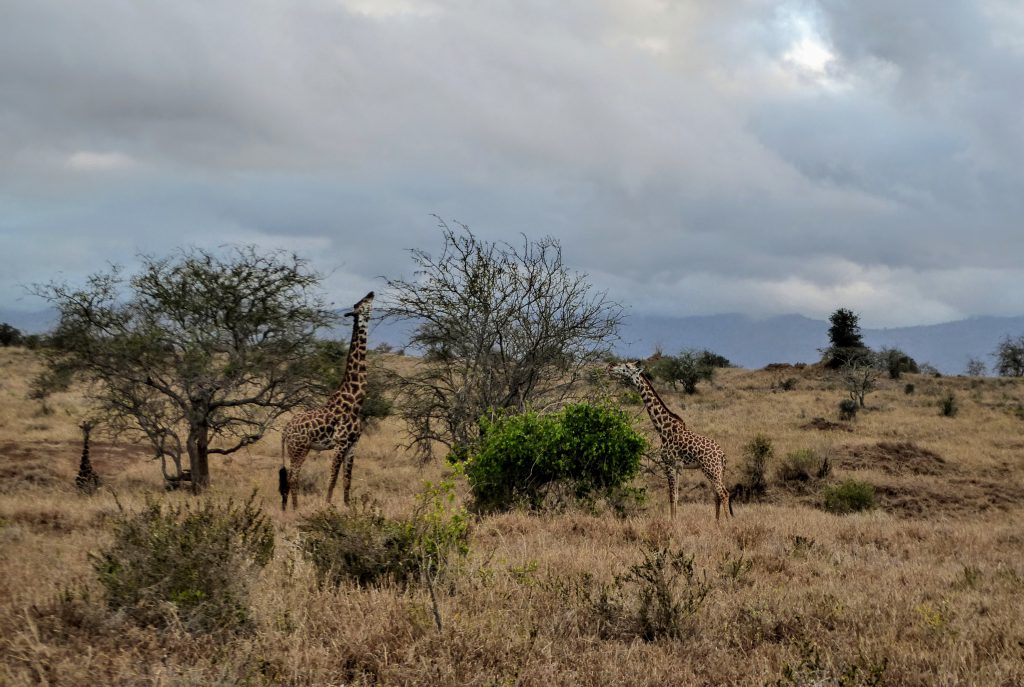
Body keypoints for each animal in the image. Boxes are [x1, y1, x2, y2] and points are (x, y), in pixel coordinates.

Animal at [278, 290, 374, 509]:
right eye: (362, 303)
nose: (371, 293)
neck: (355, 401)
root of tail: (285, 430)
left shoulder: (353, 445)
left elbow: (347, 479)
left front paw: (347, 506)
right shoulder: (340, 443)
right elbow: (333, 476)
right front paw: (328, 505)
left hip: (295, 449)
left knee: (290, 477)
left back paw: (289, 508)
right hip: (300, 448)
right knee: (293, 477)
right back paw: (295, 509)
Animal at [602, 360, 733, 522]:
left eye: (626, 366)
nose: (610, 367)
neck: (663, 429)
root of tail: (722, 455)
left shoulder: (668, 463)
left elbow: (671, 496)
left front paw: (672, 523)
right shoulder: (677, 467)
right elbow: (676, 496)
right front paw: (675, 521)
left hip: (711, 469)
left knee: (724, 493)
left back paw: (728, 523)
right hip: (717, 471)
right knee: (717, 495)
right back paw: (717, 523)